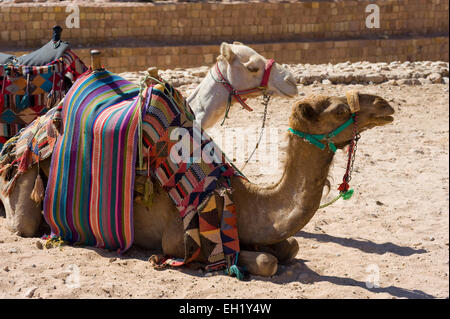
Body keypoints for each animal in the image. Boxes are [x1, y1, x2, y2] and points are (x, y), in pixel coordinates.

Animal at [0, 92, 394, 278]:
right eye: (339, 110)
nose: (385, 106)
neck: (242, 198)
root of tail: (25, 133)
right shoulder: (179, 239)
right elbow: (266, 261)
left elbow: (290, 247)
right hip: (25, 182)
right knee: (22, 224)